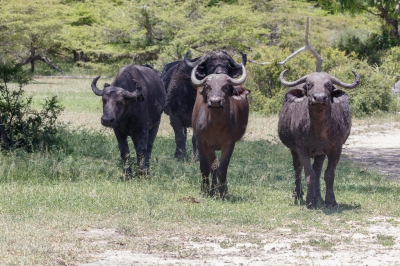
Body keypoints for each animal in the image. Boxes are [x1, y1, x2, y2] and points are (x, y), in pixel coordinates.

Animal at [191, 63, 250, 198]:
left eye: (226, 86)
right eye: (208, 86)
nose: (215, 101)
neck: (216, 125)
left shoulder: (229, 144)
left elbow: (223, 168)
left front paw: (223, 192)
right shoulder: (202, 142)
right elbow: (205, 167)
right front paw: (204, 190)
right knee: (213, 166)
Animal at [278, 69, 360, 209]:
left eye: (328, 85)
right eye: (309, 84)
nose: (319, 98)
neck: (319, 129)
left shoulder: (336, 149)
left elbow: (328, 174)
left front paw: (330, 201)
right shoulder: (301, 149)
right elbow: (309, 174)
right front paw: (310, 202)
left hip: (320, 153)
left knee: (318, 170)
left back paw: (319, 197)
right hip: (293, 150)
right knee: (297, 169)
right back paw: (297, 194)